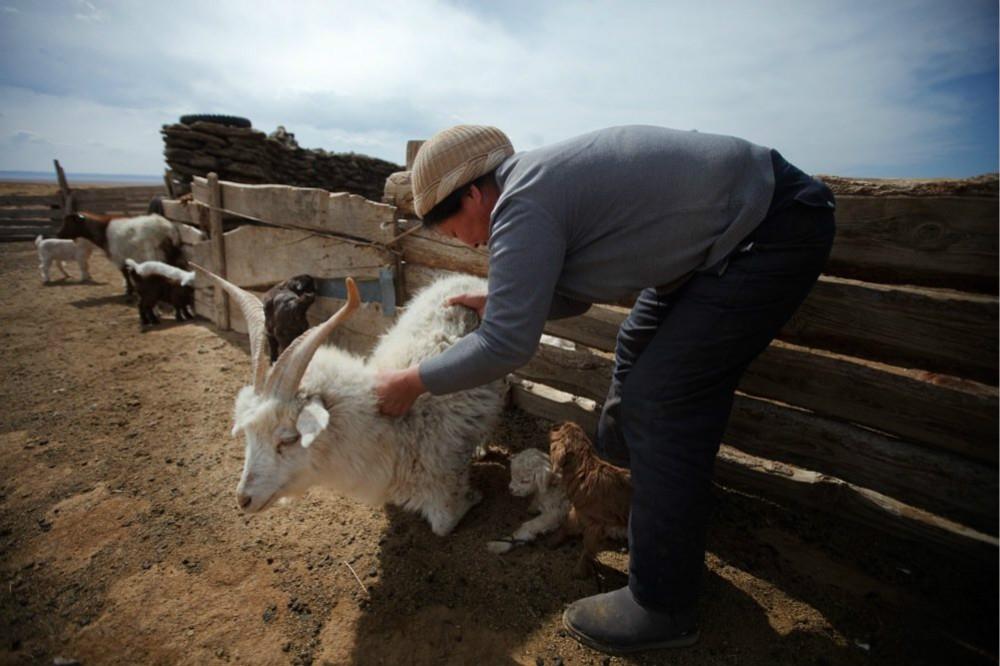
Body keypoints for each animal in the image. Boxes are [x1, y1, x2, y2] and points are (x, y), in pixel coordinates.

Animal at [193, 264, 508, 536]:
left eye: (288, 439)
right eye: (248, 435)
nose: (243, 499)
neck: (393, 427)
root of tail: (464, 277)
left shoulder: (443, 479)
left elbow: (444, 523)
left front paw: (474, 495)